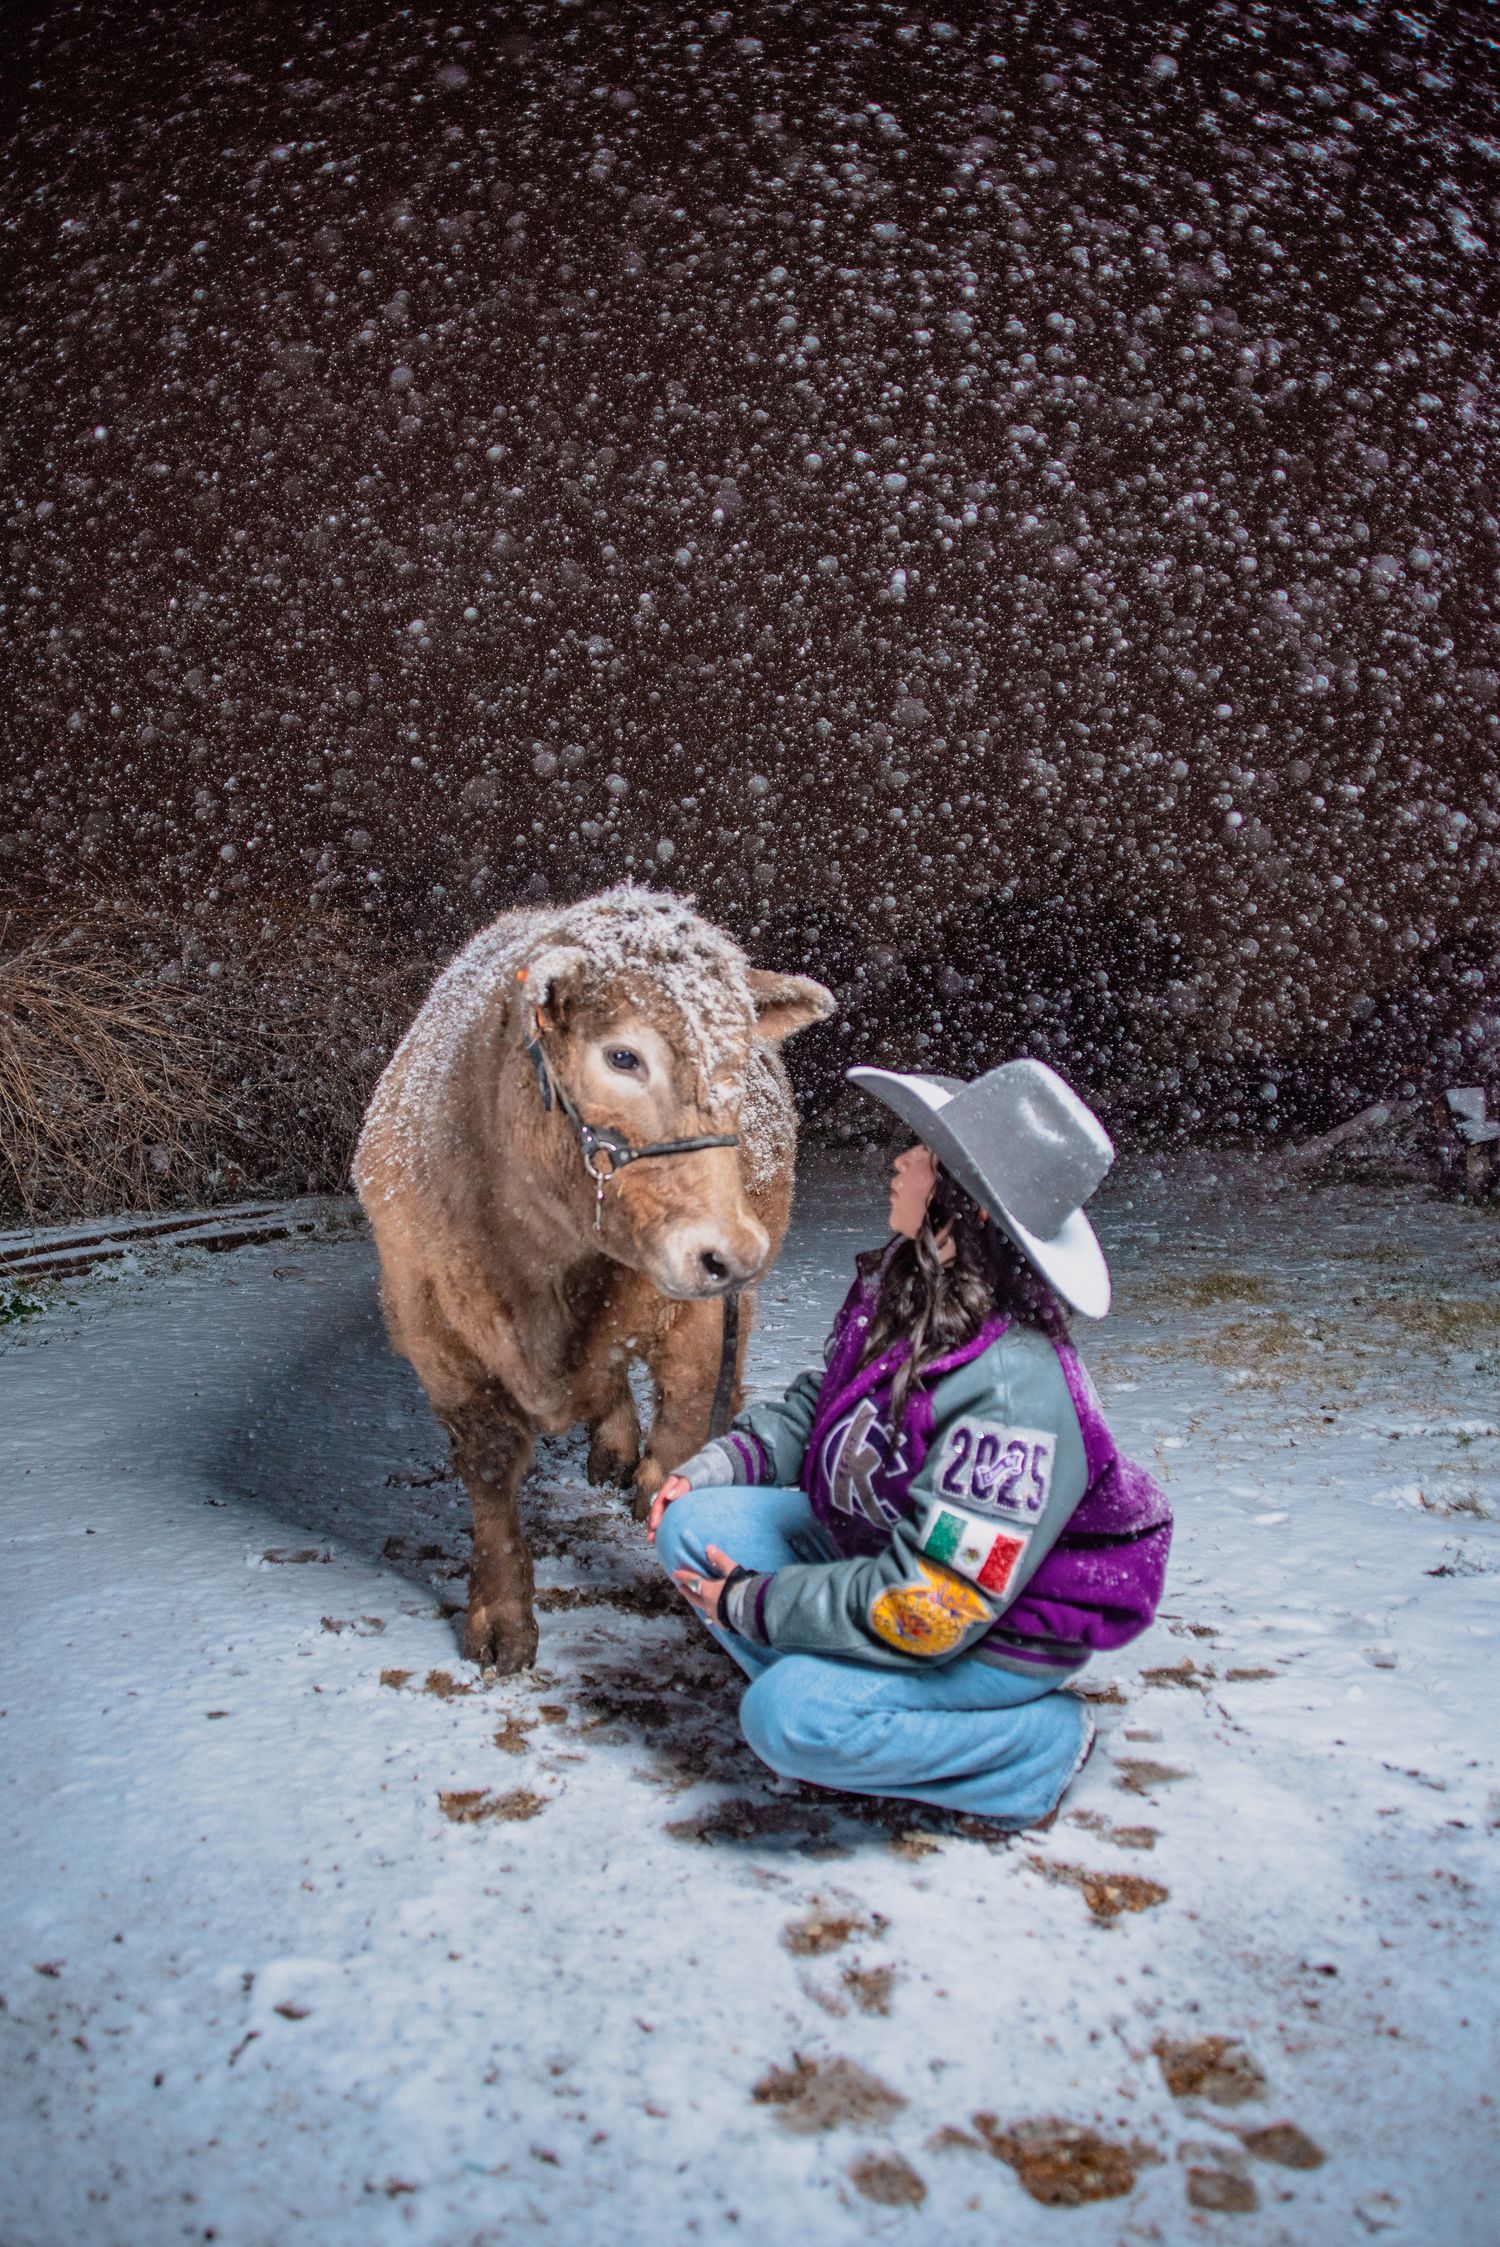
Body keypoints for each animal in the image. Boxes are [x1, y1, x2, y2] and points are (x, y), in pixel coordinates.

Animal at [354, 884, 834, 1672]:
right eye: (622, 1056)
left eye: (735, 1061)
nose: (732, 1251)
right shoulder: (432, 1329)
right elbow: (489, 1466)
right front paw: (501, 1613)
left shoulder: (695, 1319)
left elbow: (682, 1423)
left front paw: (662, 1501)